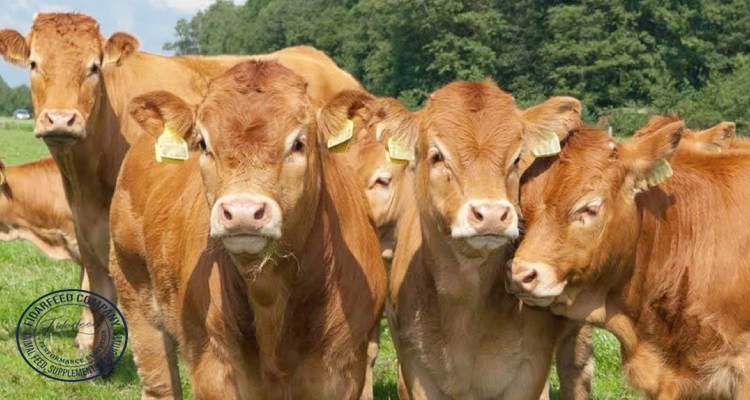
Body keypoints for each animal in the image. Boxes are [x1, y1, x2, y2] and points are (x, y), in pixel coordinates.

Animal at [109, 59, 387, 400]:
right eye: (203, 143)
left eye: (298, 143)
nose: (242, 212)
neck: (269, 292)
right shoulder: (213, 367)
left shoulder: (339, 371)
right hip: (134, 291)